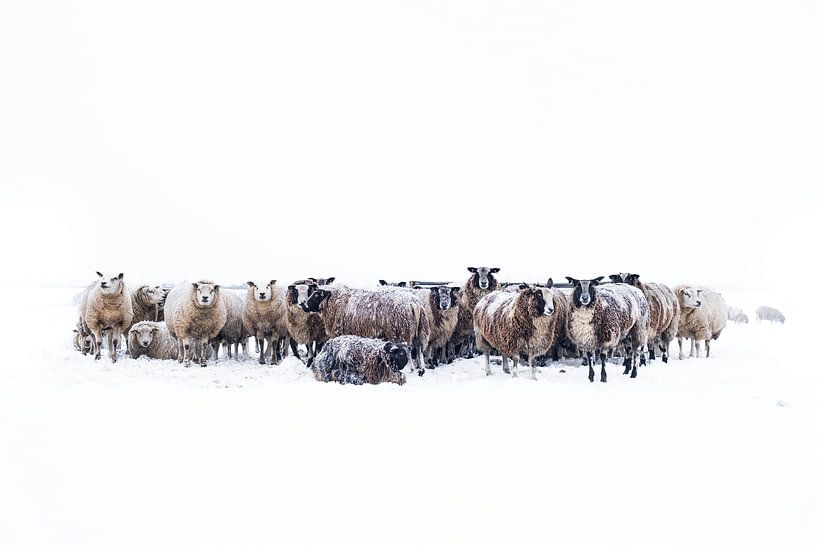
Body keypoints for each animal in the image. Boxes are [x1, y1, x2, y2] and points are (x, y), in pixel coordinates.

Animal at [300, 285, 430, 375]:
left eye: (317, 295)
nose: (304, 306)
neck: (335, 302)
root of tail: (414, 303)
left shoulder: (341, 332)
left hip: (400, 331)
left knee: (407, 349)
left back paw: (411, 369)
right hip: (419, 330)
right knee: (419, 348)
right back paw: (421, 370)